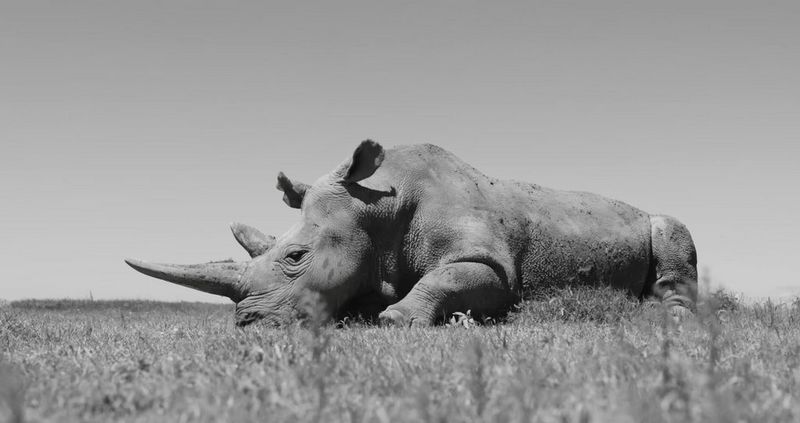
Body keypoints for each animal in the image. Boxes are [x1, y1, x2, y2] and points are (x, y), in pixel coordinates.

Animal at [126, 140, 697, 326]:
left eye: (295, 256)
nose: (247, 323)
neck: (378, 205)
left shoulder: (491, 263)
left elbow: (452, 278)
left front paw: (394, 319)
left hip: (656, 221)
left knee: (671, 227)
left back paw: (667, 315)